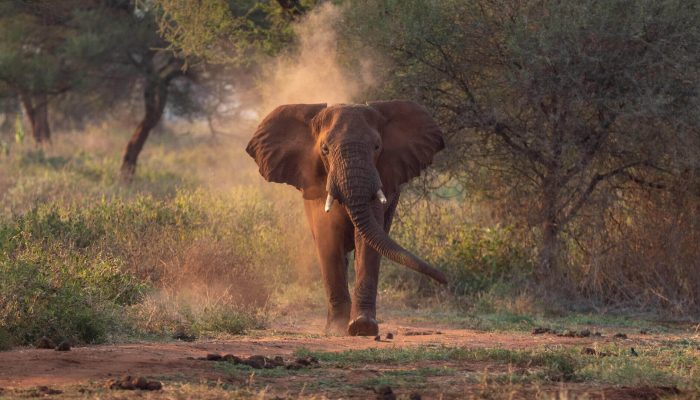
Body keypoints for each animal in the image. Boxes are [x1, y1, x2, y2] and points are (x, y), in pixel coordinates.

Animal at [246, 100, 447, 336]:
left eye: (377, 147)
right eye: (325, 149)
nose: (445, 280)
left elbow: (367, 243)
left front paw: (363, 326)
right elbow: (328, 238)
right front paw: (337, 329)